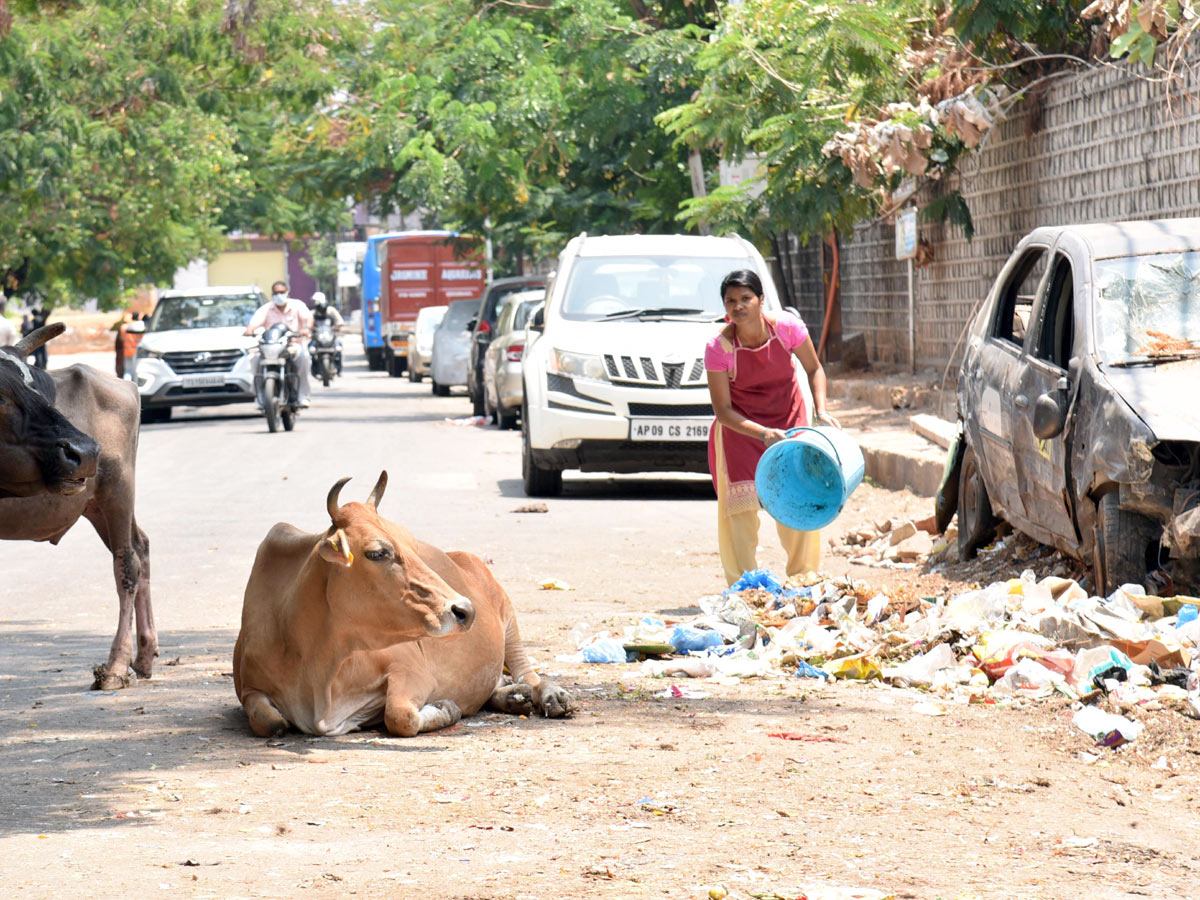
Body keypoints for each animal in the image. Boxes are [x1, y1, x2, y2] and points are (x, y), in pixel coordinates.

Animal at [0, 324, 156, 691]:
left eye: (39, 387)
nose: (82, 450)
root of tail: (124, 384)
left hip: (118, 490)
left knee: (127, 564)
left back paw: (116, 667)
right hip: (95, 504)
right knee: (141, 545)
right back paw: (143, 657)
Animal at [234, 475, 576, 734]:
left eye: (413, 544)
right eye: (377, 552)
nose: (465, 610)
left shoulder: (410, 669)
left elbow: (399, 716)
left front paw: (445, 708)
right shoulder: (250, 689)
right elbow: (271, 722)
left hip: (508, 616)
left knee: (526, 672)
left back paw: (548, 695)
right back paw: (512, 697)